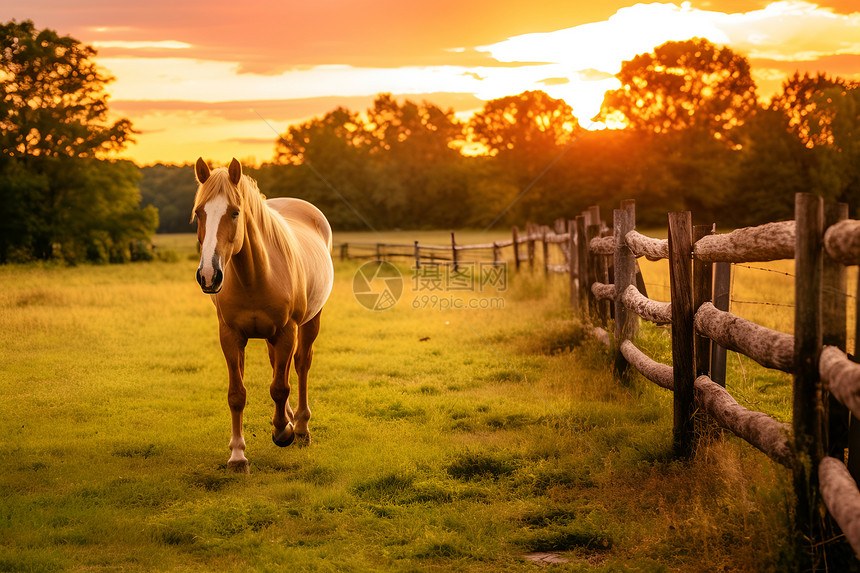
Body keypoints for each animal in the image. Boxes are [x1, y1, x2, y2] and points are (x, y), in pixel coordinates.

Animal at [190, 158, 334, 474]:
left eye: (235, 212)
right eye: (199, 213)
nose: (208, 275)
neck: (255, 277)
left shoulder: (287, 331)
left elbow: (280, 387)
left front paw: (283, 432)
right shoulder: (231, 336)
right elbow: (237, 394)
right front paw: (237, 456)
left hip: (310, 322)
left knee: (301, 365)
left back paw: (300, 427)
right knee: (278, 365)